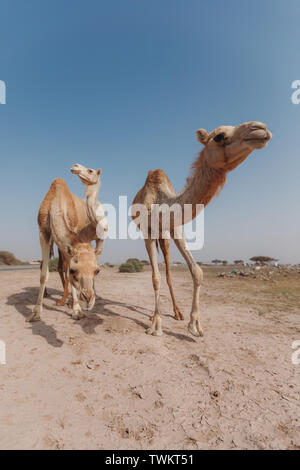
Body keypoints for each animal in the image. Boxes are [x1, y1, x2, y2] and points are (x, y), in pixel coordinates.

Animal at [28, 163, 107, 322]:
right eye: (74, 270)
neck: (55, 202)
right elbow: (45, 273)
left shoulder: (75, 233)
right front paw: (35, 312)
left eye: (97, 271)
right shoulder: (43, 232)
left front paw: (77, 310)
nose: (88, 299)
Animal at [131, 119, 272, 336]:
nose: (260, 128)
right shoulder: (147, 232)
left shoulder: (175, 228)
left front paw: (195, 324)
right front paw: (156, 325)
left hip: (165, 237)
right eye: (219, 136)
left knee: (169, 274)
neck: (160, 202)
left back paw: (177, 312)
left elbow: (197, 271)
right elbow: (155, 278)